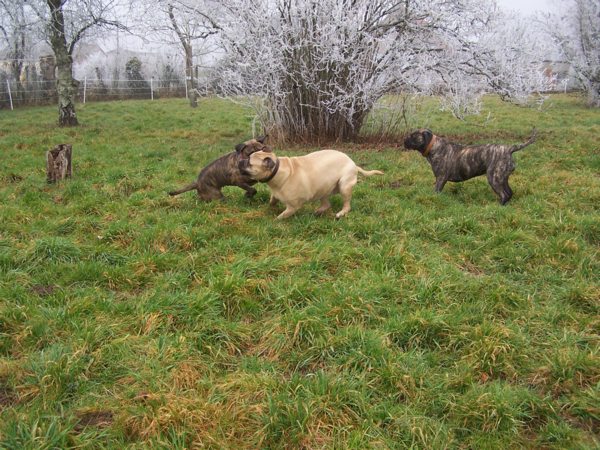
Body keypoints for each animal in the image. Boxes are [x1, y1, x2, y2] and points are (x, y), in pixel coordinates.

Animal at [404, 127, 540, 203]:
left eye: (412, 136)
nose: (404, 140)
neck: (434, 146)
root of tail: (509, 149)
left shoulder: (440, 178)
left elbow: (436, 191)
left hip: (494, 178)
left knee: (504, 194)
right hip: (502, 178)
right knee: (509, 193)